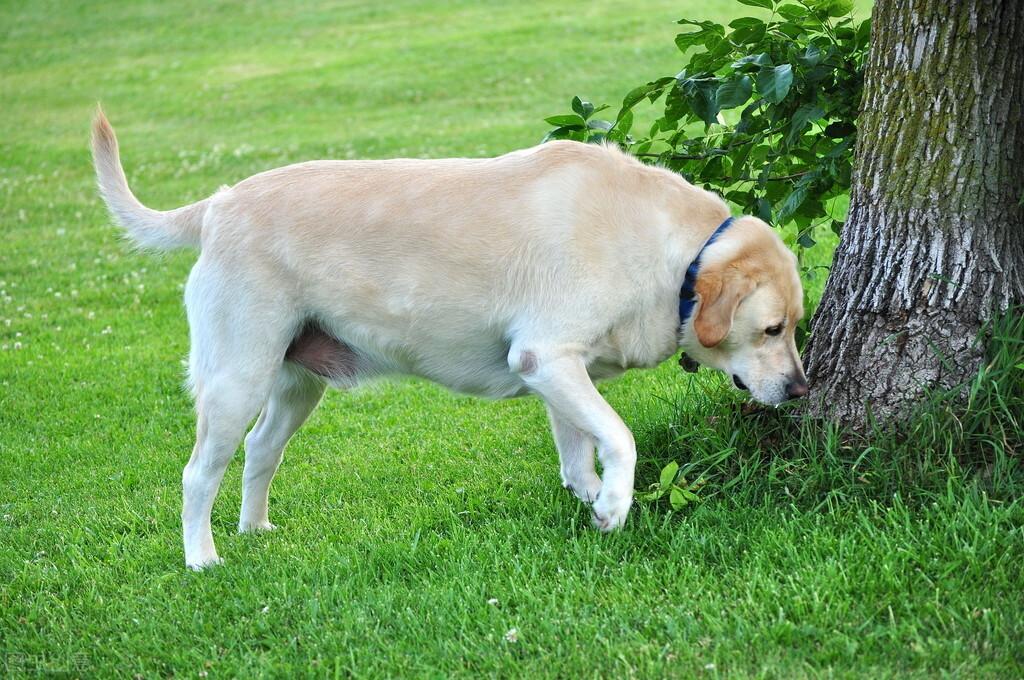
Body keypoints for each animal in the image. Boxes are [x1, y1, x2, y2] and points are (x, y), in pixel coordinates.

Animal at [90, 110, 806, 569]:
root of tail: (217, 204)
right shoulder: (547, 356)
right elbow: (621, 439)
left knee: (262, 451)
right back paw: (203, 558)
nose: (802, 389)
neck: (673, 252)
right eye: (773, 329)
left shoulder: (559, 372)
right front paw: (613, 507)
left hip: (297, 384)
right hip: (236, 380)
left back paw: (255, 529)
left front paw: (591, 498)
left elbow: (581, 453)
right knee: (197, 474)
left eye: (796, 326)